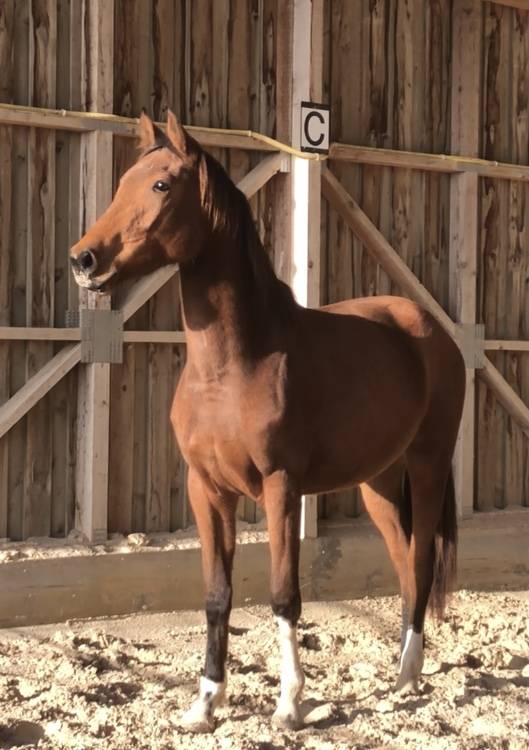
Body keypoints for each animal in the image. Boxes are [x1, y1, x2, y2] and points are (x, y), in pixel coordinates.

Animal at [70, 111, 465, 733]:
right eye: (121, 185)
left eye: (160, 185)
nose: (83, 261)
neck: (233, 365)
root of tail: (432, 331)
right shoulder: (206, 489)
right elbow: (217, 595)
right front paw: (204, 705)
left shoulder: (282, 488)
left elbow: (284, 595)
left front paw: (288, 705)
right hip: (378, 483)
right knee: (405, 565)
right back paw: (404, 674)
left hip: (426, 467)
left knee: (422, 560)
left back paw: (406, 680)